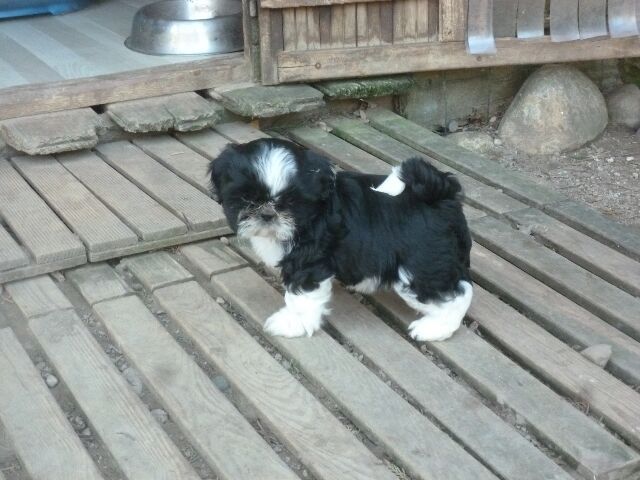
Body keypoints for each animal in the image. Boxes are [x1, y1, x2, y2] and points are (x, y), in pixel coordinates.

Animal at [210, 138, 473, 341]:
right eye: (246, 198)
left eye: (291, 202)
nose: (267, 214)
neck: (315, 212)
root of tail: (440, 195)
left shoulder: (308, 261)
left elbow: (300, 297)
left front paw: (292, 322)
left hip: (419, 268)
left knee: (457, 294)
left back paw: (435, 328)